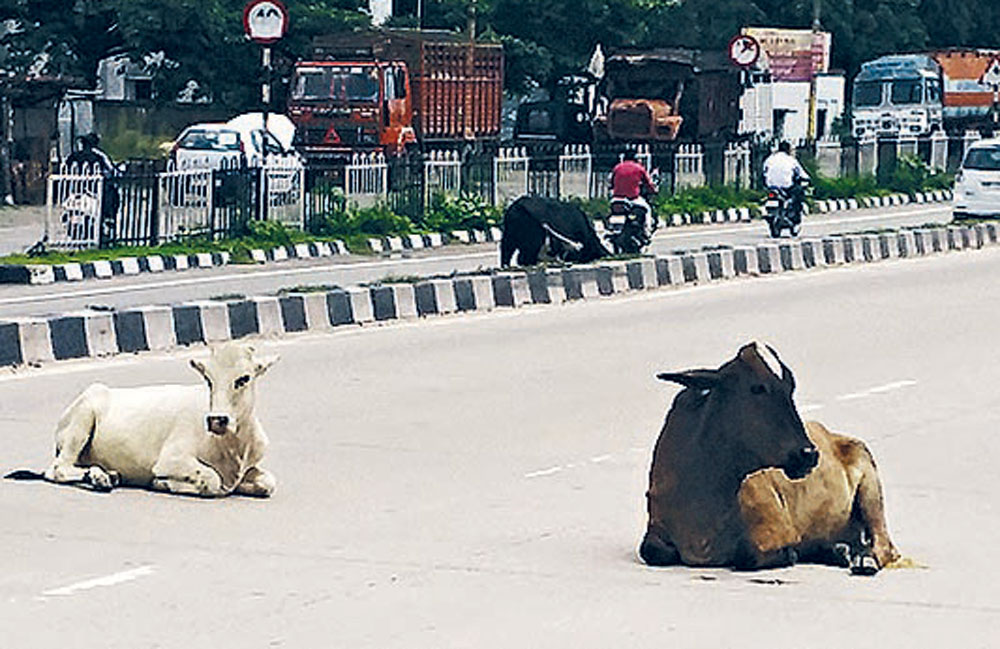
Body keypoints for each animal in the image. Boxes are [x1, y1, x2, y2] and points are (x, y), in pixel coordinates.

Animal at [6, 344, 278, 496]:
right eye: (208, 379)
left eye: (243, 378)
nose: (216, 420)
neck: (232, 445)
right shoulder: (170, 460)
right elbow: (211, 480)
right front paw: (162, 484)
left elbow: (268, 482)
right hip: (82, 419)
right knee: (58, 469)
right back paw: (100, 478)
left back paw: (104, 476)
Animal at [640, 342, 900, 576]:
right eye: (757, 388)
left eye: (790, 387)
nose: (808, 453)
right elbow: (651, 551)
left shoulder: (779, 530)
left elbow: (747, 555)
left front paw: (791, 553)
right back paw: (838, 550)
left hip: (870, 487)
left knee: (885, 546)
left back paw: (864, 560)